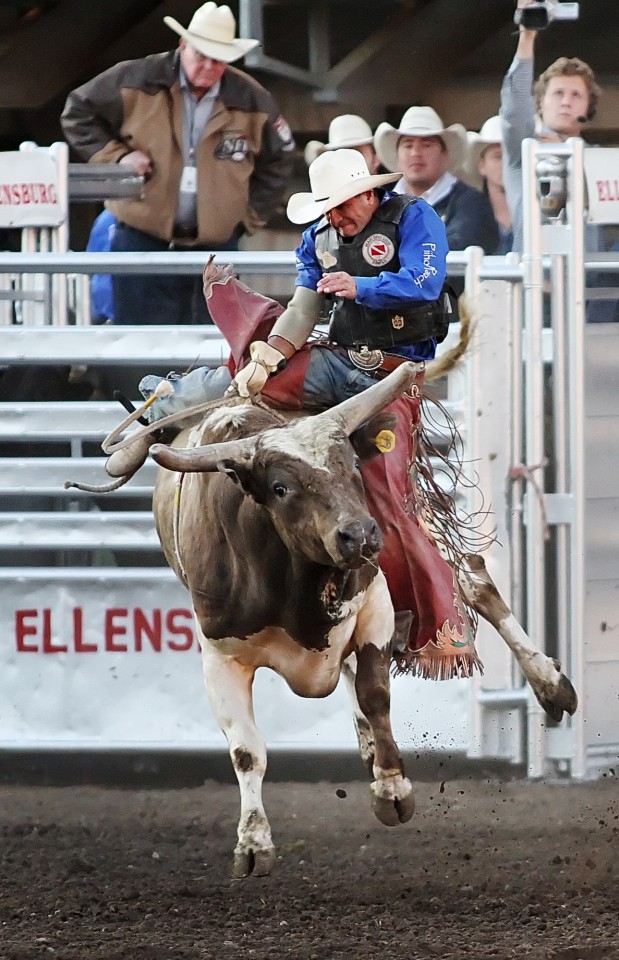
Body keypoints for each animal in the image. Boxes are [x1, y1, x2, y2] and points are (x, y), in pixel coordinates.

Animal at [70, 282, 580, 880]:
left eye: (353, 467)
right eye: (281, 487)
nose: (360, 536)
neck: (294, 586)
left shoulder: (375, 605)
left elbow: (377, 693)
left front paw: (392, 791)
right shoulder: (219, 653)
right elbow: (247, 749)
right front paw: (253, 844)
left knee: (471, 579)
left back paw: (550, 683)